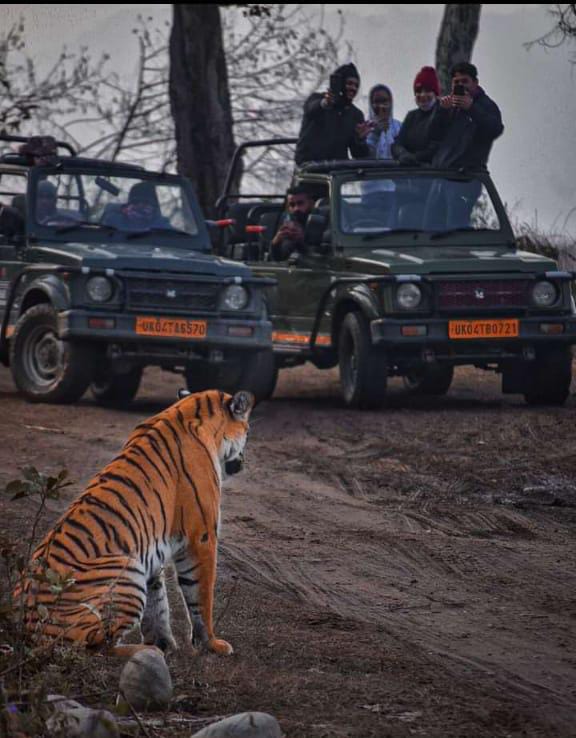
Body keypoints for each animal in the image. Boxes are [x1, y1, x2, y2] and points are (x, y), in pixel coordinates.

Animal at [12, 386, 252, 656]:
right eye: (248, 431)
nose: (243, 462)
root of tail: (27, 626)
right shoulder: (201, 537)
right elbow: (201, 596)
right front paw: (211, 643)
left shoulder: (151, 546)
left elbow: (158, 604)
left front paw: (164, 642)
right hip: (127, 570)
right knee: (95, 645)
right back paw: (141, 651)